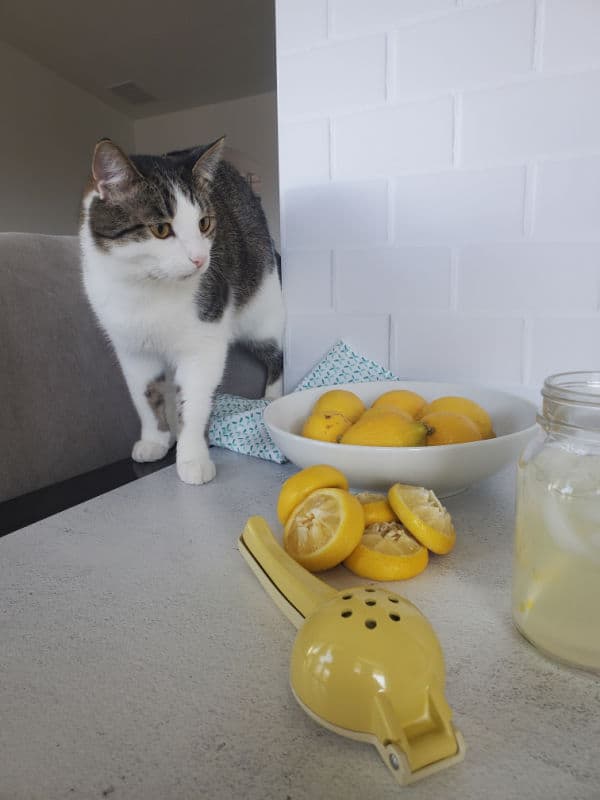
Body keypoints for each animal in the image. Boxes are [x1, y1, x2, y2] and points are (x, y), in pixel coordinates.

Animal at [79, 138, 284, 484]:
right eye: (161, 229)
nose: (200, 259)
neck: (147, 290)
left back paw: (273, 396)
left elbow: (195, 401)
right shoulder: (132, 351)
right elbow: (145, 396)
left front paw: (192, 457)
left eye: (204, 223)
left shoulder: (204, 343)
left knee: (276, 352)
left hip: (262, 307)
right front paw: (155, 440)